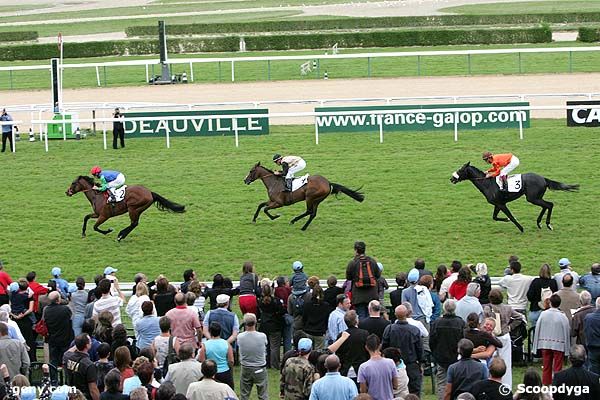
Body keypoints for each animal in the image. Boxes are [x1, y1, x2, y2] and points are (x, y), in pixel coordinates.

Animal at [448, 162, 580, 231]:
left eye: (460, 170)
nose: (452, 178)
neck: (487, 184)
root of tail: (543, 178)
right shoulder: (497, 204)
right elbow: (495, 217)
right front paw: (506, 220)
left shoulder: (501, 204)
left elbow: (510, 216)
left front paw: (520, 228)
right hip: (535, 198)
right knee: (546, 205)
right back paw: (539, 223)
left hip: (532, 198)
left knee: (549, 204)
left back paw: (548, 224)